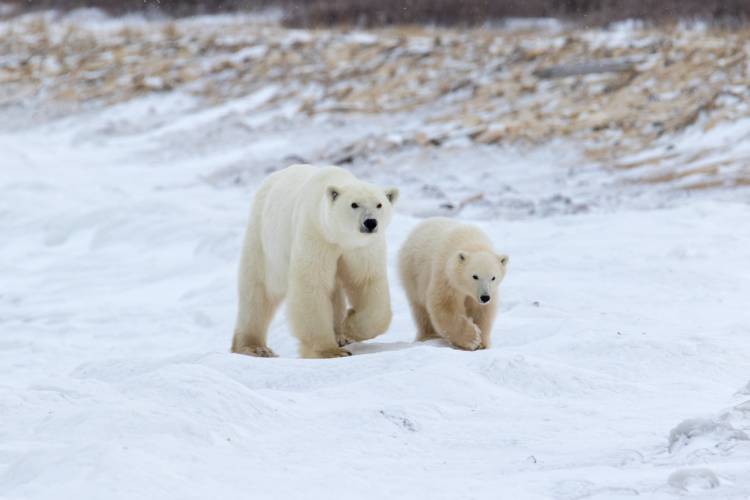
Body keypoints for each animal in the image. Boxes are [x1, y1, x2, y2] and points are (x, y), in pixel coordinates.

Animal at [234, 165, 400, 360]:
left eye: (379, 204)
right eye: (354, 204)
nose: (371, 222)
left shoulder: (361, 249)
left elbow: (366, 282)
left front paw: (349, 327)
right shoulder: (316, 234)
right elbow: (312, 284)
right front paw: (329, 351)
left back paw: (340, 335)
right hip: (264, 240)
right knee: (258, 290)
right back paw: (254, 347)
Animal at [400, 219, 512, 352]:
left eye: (493, 277)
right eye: (475, 276)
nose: (485, 297)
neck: (472, 243)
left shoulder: (489, 292)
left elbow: (482, 311)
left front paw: (482, 343)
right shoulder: (446, 277)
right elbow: (444, 306)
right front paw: (472, 338)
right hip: (412, 274)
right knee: (420, 309)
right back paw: (428, 336)